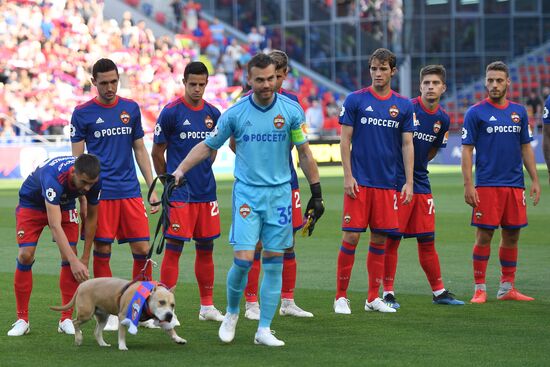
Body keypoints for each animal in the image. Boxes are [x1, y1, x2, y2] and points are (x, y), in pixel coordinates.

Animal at [50, 278, 188, 350]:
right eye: (161, 302)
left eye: (172, 305)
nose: (170, 315)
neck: (146, 299)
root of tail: (82, 285)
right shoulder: (123, 317)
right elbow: (122, 333)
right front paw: (122, 346)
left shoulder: (161, 319)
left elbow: (170, 330)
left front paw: (178, 338)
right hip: (86, 313)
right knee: (75, 322)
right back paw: (78, 338)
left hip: (102, 317)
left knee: (97, 331)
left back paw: (103, 344)